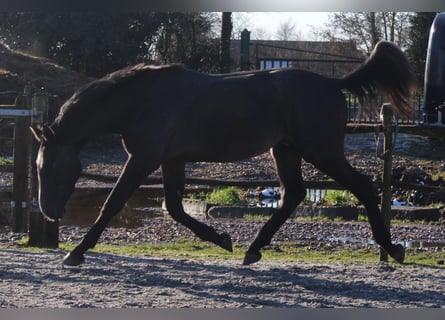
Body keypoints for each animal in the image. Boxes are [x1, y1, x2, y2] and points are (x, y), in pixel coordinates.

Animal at [30, 40, 412, 264]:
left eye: (47, 167)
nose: (49, 213)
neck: (139, 99)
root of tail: (334, 83)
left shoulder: (142, 159)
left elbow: (112, 204)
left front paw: (76, 252)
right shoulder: (170, 160)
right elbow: (174, 208)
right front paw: (223, 239)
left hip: (321, 150)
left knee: (362, 186)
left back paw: (392, 249)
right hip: (285, 150)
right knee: (294, 194)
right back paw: (253, 249)